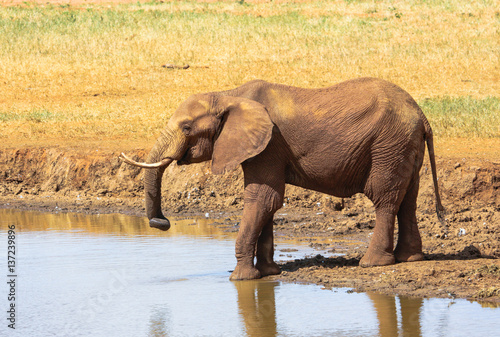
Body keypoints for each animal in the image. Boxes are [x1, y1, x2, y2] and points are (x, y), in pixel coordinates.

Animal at [120, 77, 446, 280]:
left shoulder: (269, 145)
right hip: (402, 145)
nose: (162, 223)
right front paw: (269, 274)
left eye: (187, 128)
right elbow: (268, 203)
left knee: (384, 199)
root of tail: (421, 114)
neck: (228, 94)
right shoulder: (262, 148)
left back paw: (372, 263)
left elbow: (262, 199)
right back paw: (410, 259)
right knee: (407, 199)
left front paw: (240, 279)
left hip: (389, 143)